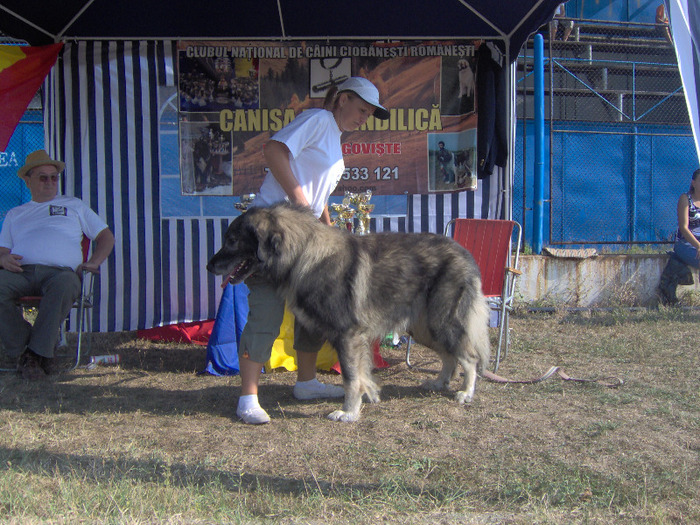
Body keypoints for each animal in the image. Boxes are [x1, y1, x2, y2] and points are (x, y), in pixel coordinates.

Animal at [206, 203, 492, 420]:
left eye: (232, 241)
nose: (209, 266)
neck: (302, 254)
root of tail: (465, 253)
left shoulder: (347, 335)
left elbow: (351, 377)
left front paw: (348, 412)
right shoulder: (353, 338)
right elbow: (361, 374)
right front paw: (363, 400)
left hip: (441, 321)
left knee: (469, 356)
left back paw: (466, 392)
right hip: (424, 327)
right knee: (449, 356)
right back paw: (440, 382)